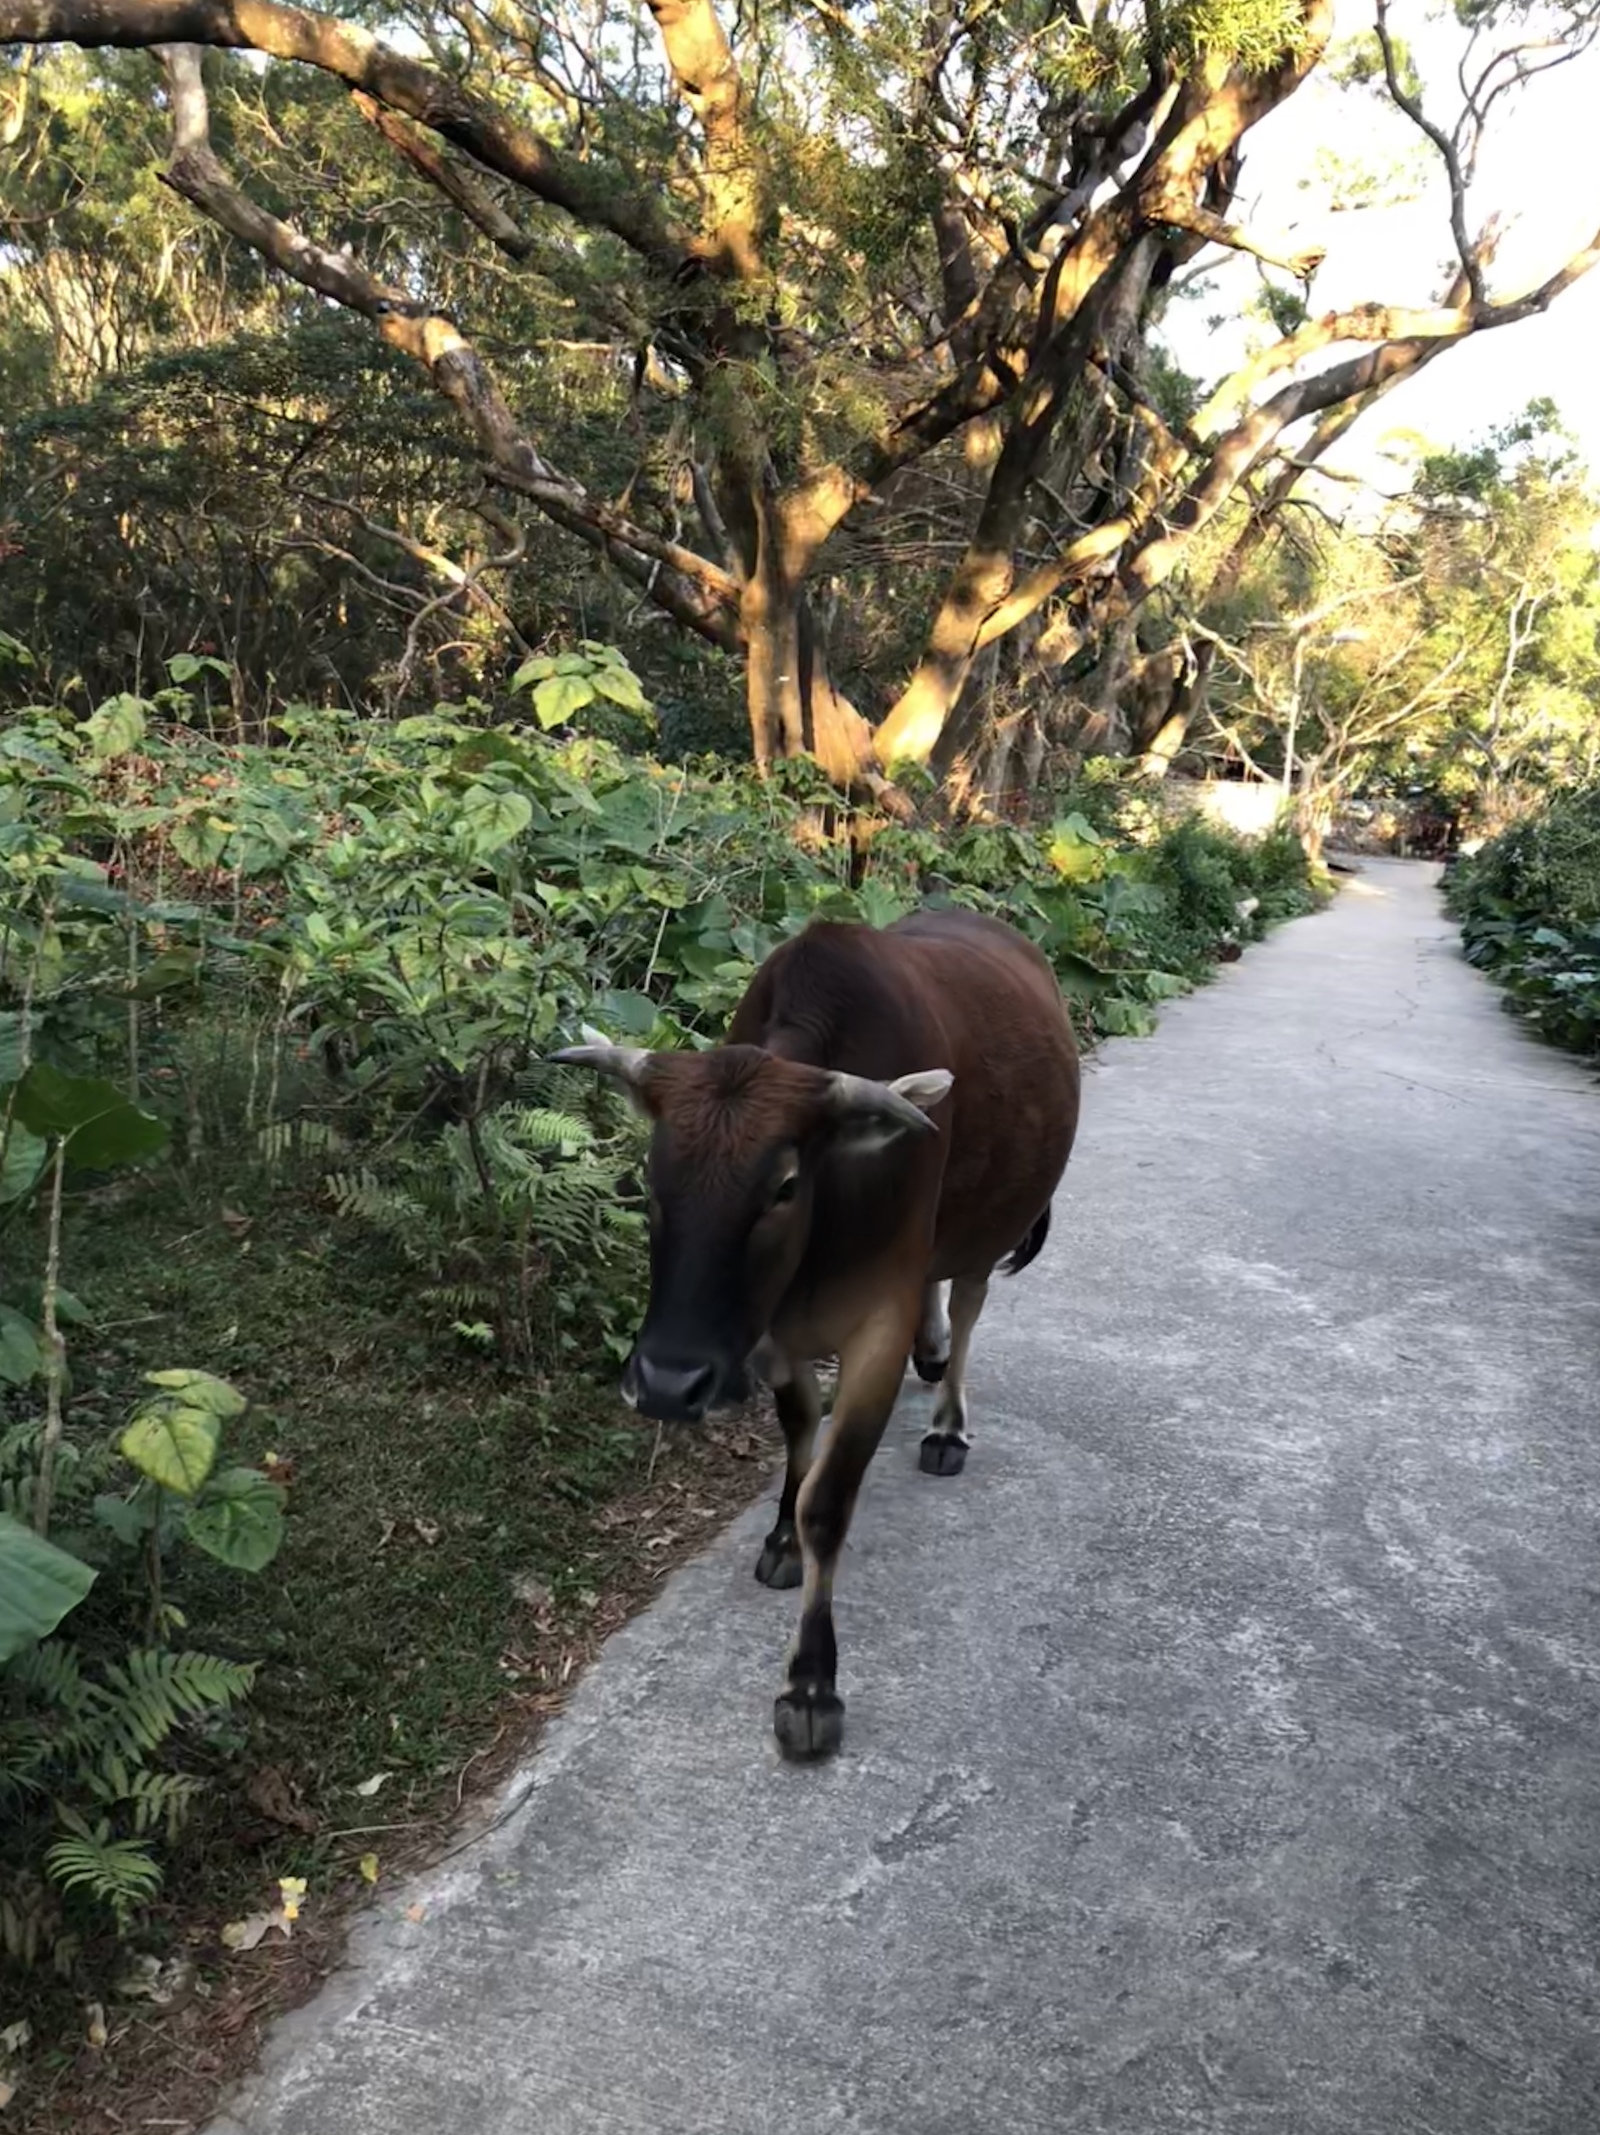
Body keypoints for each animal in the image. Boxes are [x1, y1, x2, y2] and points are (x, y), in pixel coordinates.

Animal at [551, 909, 1085, 1759]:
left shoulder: (873, 1329)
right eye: (650, 1177)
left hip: (992, 1223)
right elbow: (800, 1431)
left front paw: (810, 1683)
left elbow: (829, 1501)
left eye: (785, 1185)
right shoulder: (771, 1334)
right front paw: (778, 1539)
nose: (666, 1382)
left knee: (969, 1301)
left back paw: (948, 1421)